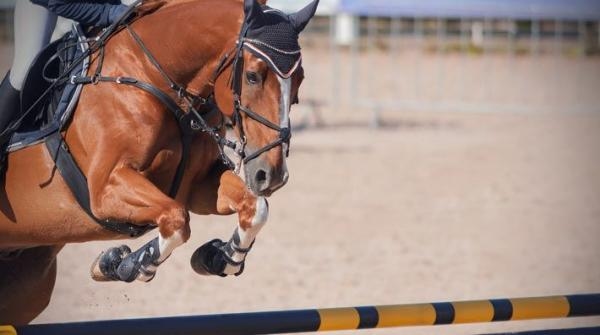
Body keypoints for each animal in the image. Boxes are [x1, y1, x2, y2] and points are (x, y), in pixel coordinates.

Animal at [0, 0, 318, 326]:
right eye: (253, 76)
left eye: (300, 80)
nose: (273, 175)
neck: (150, 74)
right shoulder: (105, 189)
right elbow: (176, 219)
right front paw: (124, 264)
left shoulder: (198, 185)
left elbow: (255, 208)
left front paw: (219, 257)